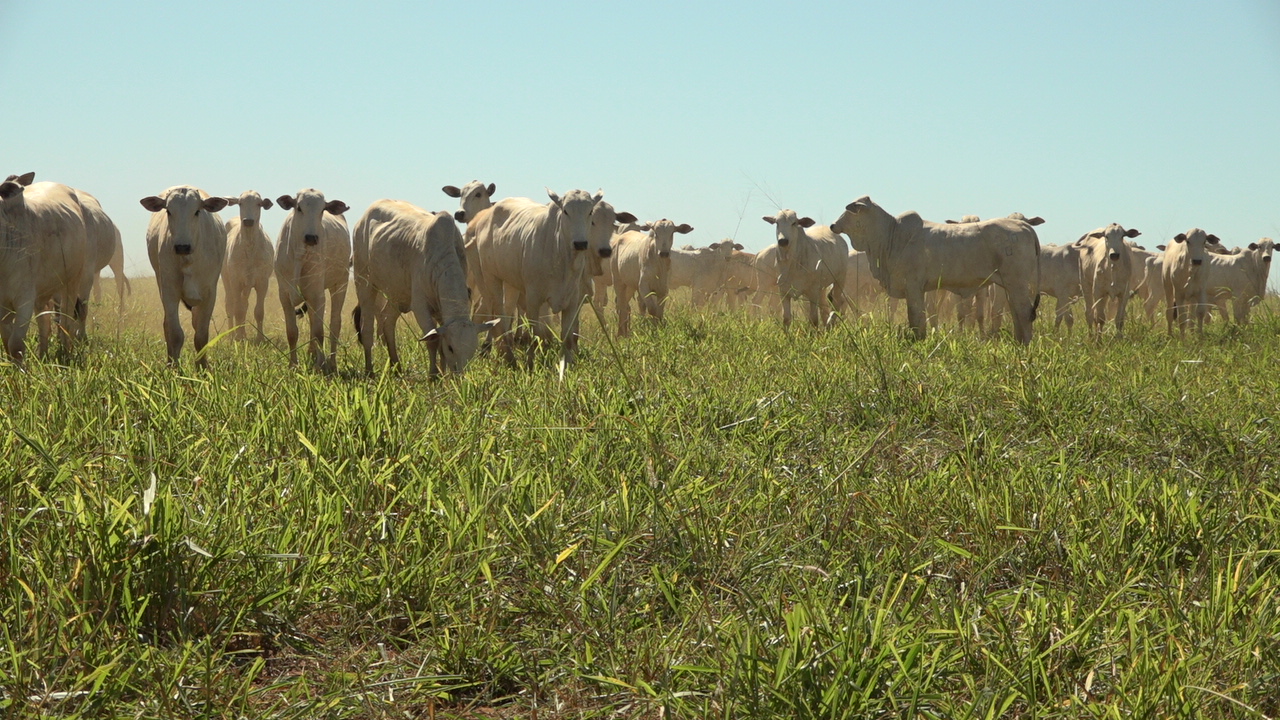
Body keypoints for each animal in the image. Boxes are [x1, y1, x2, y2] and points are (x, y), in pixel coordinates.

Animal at [141, 184, 229, 366]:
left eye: (197, 211)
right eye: (168, 211)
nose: (182, 246)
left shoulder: (209, 294)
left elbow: (201, 337)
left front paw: (202, 367)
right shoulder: (169, 291)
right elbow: (175, 334)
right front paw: (174, 368)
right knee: (167, 326)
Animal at [221, 188, 273, 338]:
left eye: (258, 204)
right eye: (240, 203)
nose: (248, 221)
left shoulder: (263, 281)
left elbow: (258, 311)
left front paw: (260, 338)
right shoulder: (236, 280)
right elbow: (238, 310)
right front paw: (238, 337)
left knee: (245, 304)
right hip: (226, 279)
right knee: (230, 305)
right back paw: (232, 334)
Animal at [272, 184, 348, 368]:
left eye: (322, 210)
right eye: (299, 208)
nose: (311, 237)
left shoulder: (317, 293)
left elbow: (319, 332)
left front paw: (320, 365)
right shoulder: (284, 294)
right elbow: (292, 332)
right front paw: (293, 365)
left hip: (340, 284)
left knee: (334, 324)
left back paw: (331, 362)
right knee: (313, 320)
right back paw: (312, 353)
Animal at [353, 197, 496, 371]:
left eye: (472, 349)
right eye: (451, 348)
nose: (459, 373)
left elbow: (440, 342)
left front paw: (443, 372)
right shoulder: (420, 307)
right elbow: (433, 341)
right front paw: (434, 373)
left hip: (397, 294)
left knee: (388, 322)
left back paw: (396, 365)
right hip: (364, 282)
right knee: (366, 329)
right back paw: (370, 370)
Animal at [829, 196, 1039, 340]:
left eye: (849, 211)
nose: (832, 225)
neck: (890, 235)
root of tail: (1025, 227)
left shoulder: (913, 287)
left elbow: (915, 318)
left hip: (1017, 284)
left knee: (1023, 313)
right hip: (1009, 287)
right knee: (1016, 314)